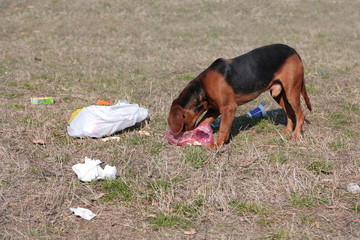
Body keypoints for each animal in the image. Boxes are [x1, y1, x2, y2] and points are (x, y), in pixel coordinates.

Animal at [169, 43, 312, 147]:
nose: (182, 135)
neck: (202, 87)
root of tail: (294, 51)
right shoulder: (215, 109)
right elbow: (202, 122)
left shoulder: (229, 108)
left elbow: (223, 128)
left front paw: (217, 145)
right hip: (278, 94)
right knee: (291, 113)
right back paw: (287, 131)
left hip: (292, 91)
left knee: (300, 115)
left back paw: (296, 136)